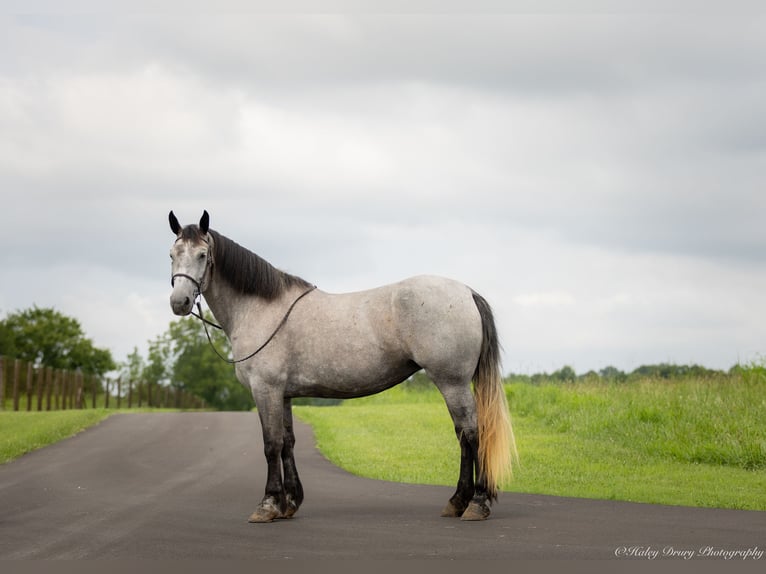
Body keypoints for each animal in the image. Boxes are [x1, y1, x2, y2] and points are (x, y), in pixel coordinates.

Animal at [168, 210, 516, 520]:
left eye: (202, 255)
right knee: (465, 435)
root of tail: (466, 292)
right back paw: (458, 502)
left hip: (452, 382)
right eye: (172, 254)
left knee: (471, 433)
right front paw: (289, 503)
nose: (179, 302)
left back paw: (475, 503)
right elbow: (287, 443)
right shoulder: (284, 394)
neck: (261, 309)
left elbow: (271, 444)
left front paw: (268, 505)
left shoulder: (265, 390)